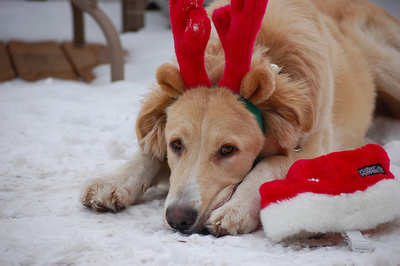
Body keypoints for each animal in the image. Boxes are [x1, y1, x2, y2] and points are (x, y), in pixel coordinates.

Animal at [81, 0, 400, 237]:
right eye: (176, 145)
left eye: (227, 150)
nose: (178, 219)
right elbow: (148, 152)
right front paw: (111, 182)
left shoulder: (314, 146)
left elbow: (268, 166)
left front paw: (235, 211)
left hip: (387, 65)